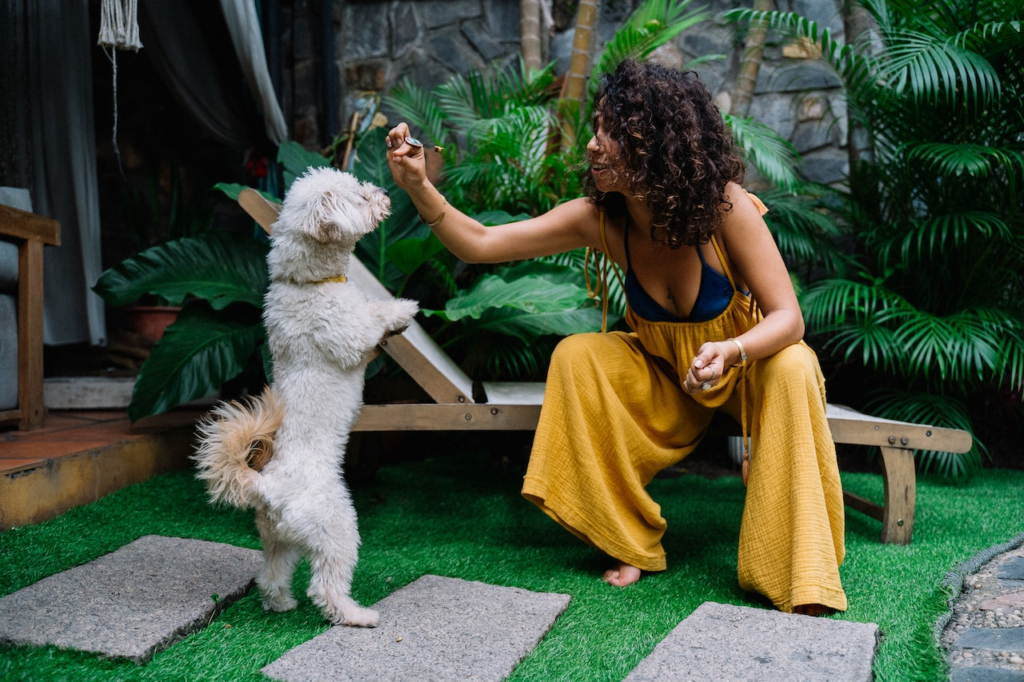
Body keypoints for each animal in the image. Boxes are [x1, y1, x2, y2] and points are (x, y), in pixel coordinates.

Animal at [190, 166, 417, 622]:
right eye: (359, 196)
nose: (384, 191)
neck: (307, 283)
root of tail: (264, 486)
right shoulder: (349, 337)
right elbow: (373, 318)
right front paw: (403, 311)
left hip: (279, 538)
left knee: (271, 576)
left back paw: (281, 604)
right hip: (337, 526)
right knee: (325, 585)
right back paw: (356, 615)